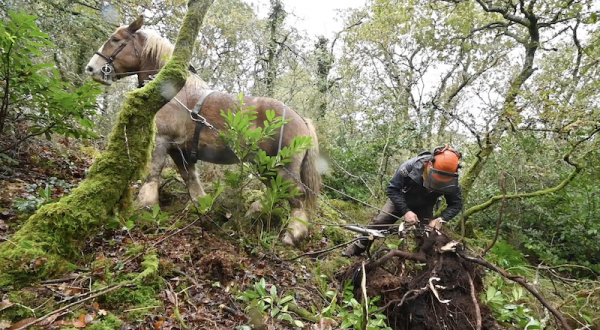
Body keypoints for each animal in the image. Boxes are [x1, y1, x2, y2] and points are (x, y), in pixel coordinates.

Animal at [86, 16, 322, 246]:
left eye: (115, 39)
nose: (91, 68)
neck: (172, 92)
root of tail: (302, 121)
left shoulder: (162, 140)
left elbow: (153, 173)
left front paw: (145, 206)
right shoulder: (179, 149)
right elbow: (190, 178)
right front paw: (201, 206)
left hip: (282, 167)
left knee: (297, 195)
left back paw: (293, 234)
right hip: (266, 166)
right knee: (276, 192)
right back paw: (254, 212)